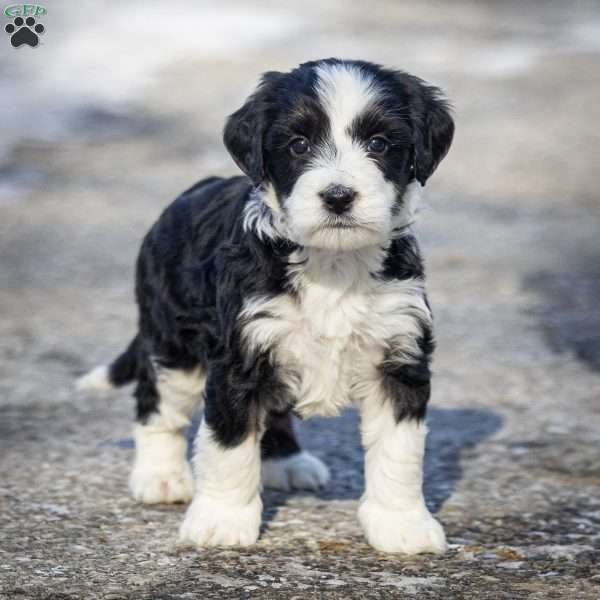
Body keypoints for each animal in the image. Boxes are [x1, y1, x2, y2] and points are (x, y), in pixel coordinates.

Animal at [79, 57, 454, 552]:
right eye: (298, 144)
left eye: (379, 143)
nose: (338, 196)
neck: (332, 264)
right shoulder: (239, 355)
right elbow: (229, 445)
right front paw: (221, 520)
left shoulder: (399, 356)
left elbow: (399, 450)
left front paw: (402, 525)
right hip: (175, 343)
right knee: (156, 403)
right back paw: (160, 477)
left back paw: (286, 462)